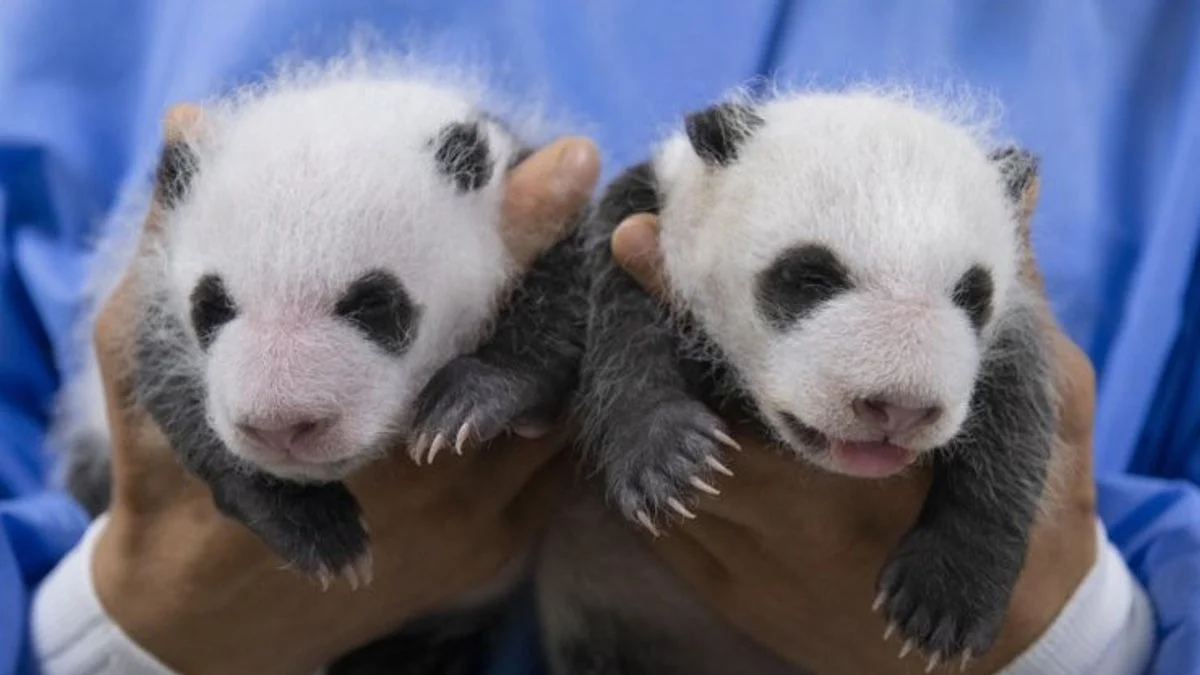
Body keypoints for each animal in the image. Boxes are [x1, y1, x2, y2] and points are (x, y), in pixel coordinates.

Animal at [535, 86, 1057, 674]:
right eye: (810, 276)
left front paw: (946, 600)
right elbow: (619, 318)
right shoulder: (642, 220)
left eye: (973, 293)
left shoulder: (1016, 312)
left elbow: (1018, 412)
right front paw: (666, 458)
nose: (899, 408)